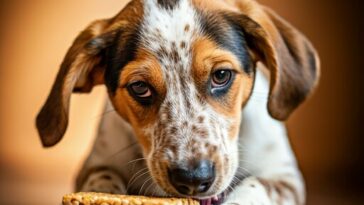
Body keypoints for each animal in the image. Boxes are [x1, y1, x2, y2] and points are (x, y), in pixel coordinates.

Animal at [36, 0, 318, 204]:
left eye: (221, 75)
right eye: (140, 87)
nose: (193, 179)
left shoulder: (285, 177)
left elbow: (253, 187)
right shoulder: (95, 165)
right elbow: (101, 180)